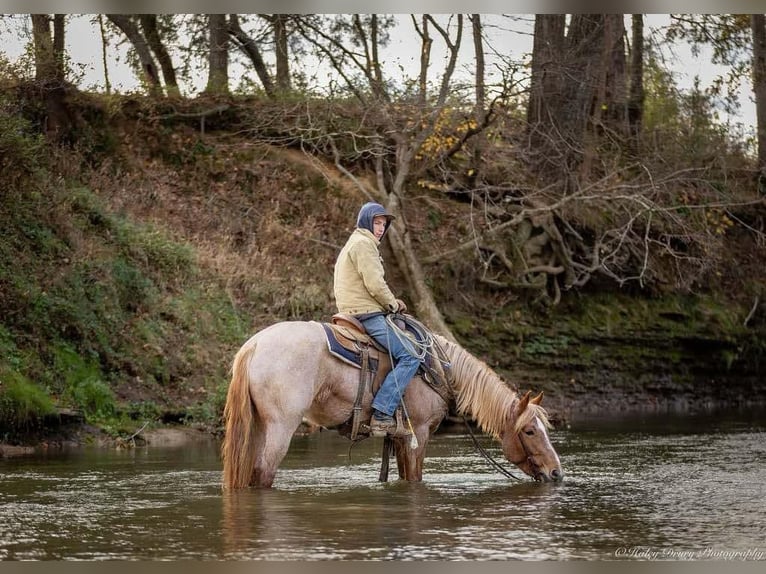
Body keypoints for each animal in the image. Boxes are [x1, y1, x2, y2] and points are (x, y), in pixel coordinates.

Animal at [222, 322, 564, 488]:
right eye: (530, 431)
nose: (557, 472)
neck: (437, 367)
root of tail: (254, 345)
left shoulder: (399, 438)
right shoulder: (419, 434)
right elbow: (415, 478)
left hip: (258, 426)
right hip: (281, 427)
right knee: (263, 472)